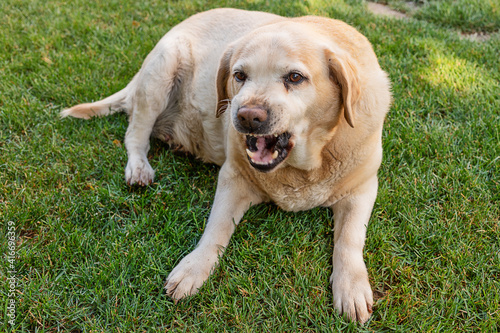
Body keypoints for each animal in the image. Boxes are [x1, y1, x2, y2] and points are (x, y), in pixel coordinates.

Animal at [61, 7, 390, 322]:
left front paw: (351, 287)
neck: (303, 166)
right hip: (160, 72)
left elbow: (349, 239)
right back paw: (139, 167)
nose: (247, 116)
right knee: (135, 134)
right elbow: (216, 228)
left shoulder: (363, 188)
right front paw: (194, 268)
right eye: (239, 75)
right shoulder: (234, 178)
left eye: (295, 77)